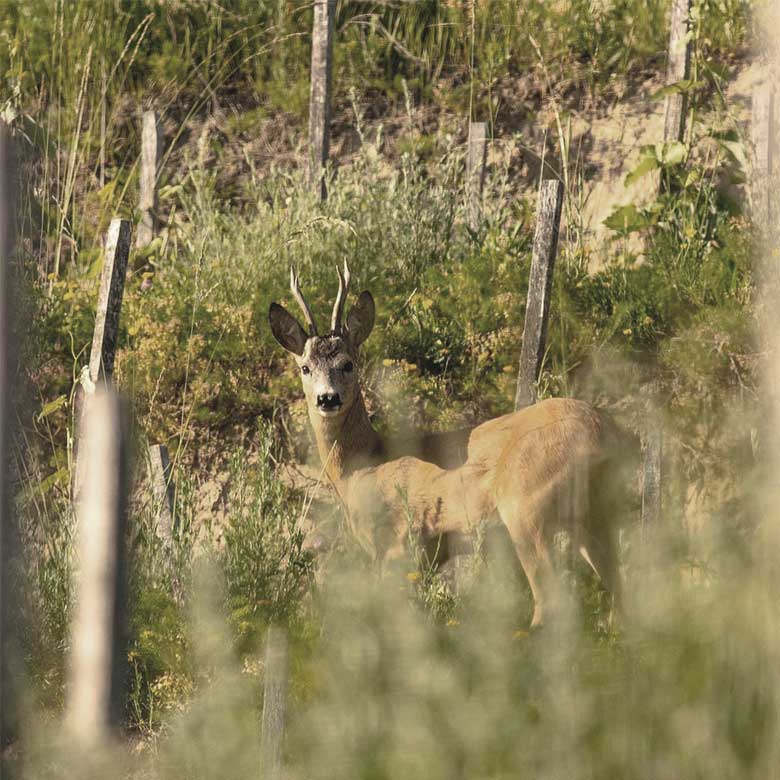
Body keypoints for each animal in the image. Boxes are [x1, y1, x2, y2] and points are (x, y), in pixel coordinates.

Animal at [270, 266, 628, 624]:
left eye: (348, 363)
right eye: (305, 367)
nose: (327, 398)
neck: (362, 467)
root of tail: (603, 431)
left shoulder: (399, 543)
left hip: (527, 506)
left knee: (552, 600)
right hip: (595, 511)